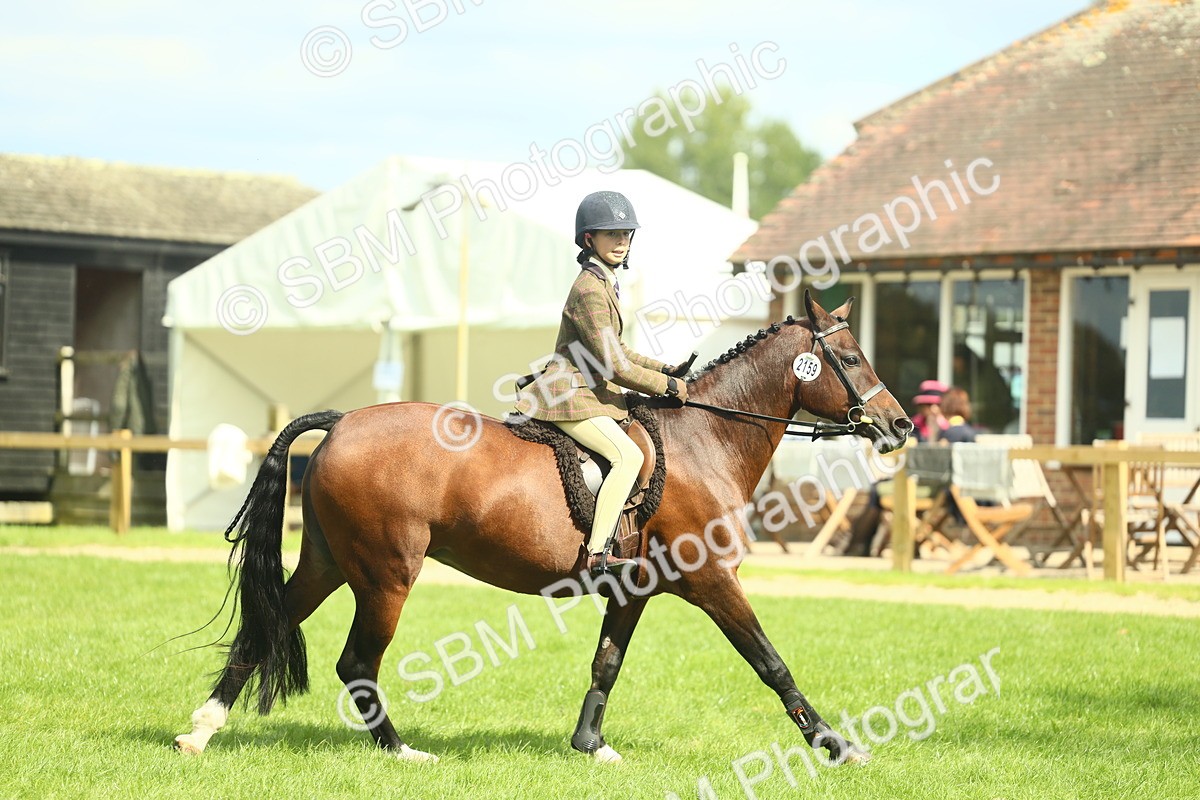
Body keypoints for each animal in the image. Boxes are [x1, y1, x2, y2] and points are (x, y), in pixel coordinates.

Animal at [174, 291, 912, 765]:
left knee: (265, 629)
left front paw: (590, 745)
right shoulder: (711, 580)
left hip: (331, 563)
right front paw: (835, 744)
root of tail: (345, 421)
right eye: (851, 357)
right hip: (386, 573)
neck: (706, 440)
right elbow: (770, 661)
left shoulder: (635, 590)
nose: (900, 424)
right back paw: (403, 751)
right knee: (357, 661)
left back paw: (200, 732)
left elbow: (606, 663)